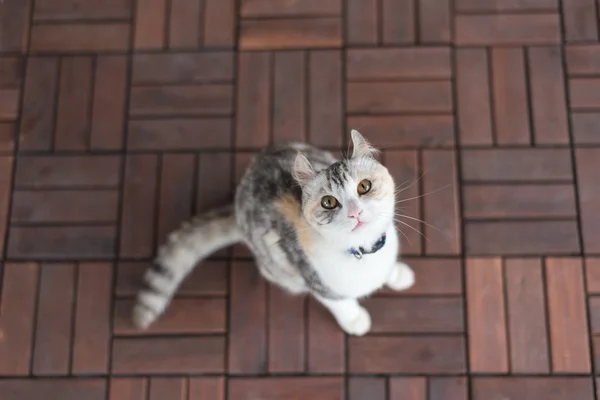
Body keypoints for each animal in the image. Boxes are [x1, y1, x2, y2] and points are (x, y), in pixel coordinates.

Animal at [132, 130, 412, 336]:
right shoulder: (316, 280)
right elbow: (342, 303)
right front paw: (355, 321)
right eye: (329, 202)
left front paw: (397, 274)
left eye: (364, 186)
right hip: (276, 265)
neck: (363, 251)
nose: (355, 212)